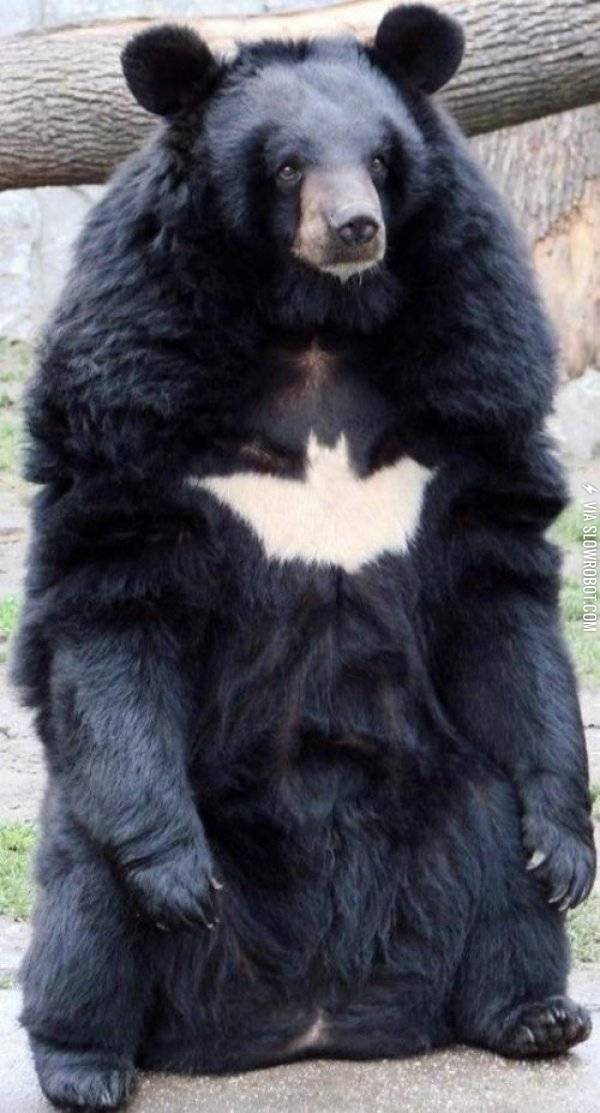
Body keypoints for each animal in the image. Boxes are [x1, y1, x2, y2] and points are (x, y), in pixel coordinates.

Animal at [12, 5, 596, 1109]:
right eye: (286, 166)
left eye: (380, 159)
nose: (356, 229)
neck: (317, 320)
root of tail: (309, 1018)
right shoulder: (130, 365)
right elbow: (116, 581)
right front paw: (178, 882)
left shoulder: (477, 356)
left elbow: (498, 576)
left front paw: (568, 850)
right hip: (101, 817)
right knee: (85, 906)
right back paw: (87, 1062)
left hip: (447, 792)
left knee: (499, 859)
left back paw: (534, 1012)